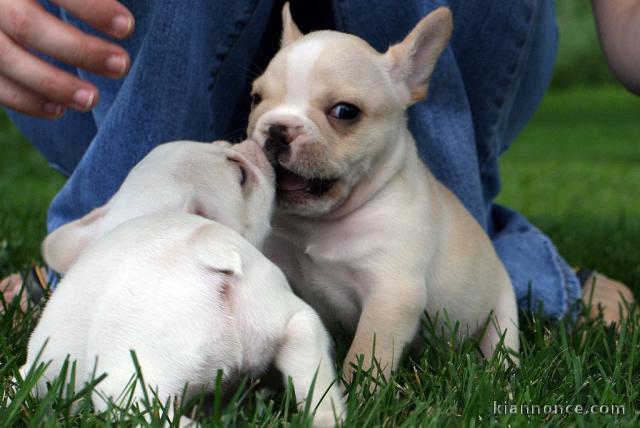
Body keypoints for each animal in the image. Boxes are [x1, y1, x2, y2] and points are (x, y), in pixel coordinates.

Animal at [248, 5, 524, 380]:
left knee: (501, 344)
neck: (321, 225)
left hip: (504, 309)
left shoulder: (391, 295)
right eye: (256, 99)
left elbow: (366, 353)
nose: (276, 129)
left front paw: (358, 390)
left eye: (345, 111)